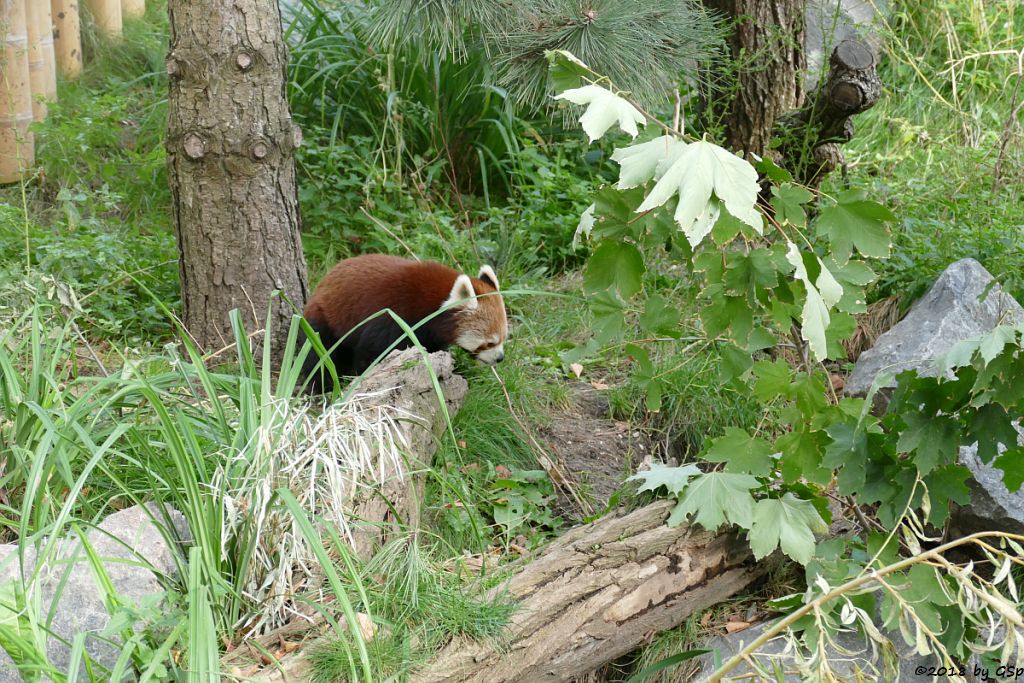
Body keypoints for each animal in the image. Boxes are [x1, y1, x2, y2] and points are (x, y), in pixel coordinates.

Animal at [299, 253, 507, 393]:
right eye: (490, 342)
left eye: (504, 339)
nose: (500, 358)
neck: (429, 302)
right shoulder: (393, 316)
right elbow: (371, 353)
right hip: (322, 319)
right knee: (319, 352)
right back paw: (322, 386)